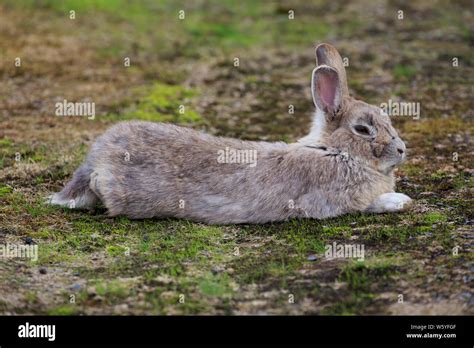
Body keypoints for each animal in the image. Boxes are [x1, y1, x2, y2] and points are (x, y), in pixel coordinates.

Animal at [48, 43, 412, 224]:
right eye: (363, 129)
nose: (402, 150)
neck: (332, 151)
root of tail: (97, 160)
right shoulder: (330, 200)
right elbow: (364, 205)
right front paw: (399, 201)